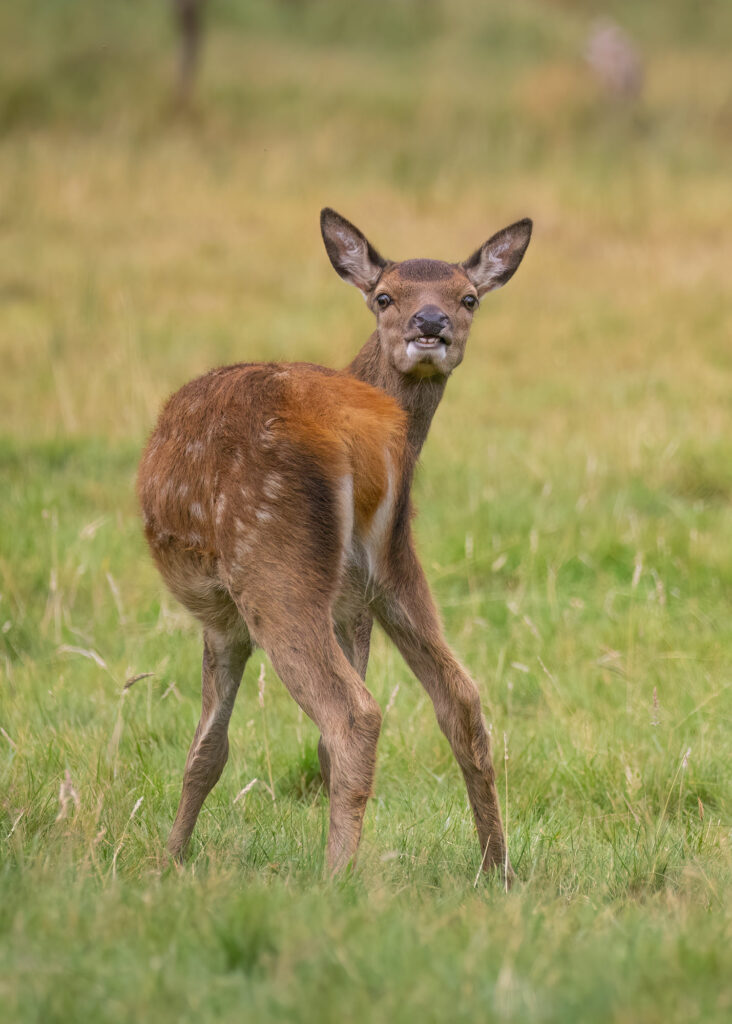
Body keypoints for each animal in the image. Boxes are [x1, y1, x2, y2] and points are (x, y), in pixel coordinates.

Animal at [137, 208, 532, 884]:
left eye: (468, 297)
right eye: (385, 296)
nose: (432, 324)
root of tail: (362, 437)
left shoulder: (224, 618)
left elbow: (207, 749)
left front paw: (170, 861)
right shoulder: (354, 603)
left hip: (272, 562)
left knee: (353, 713)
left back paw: (335, 879)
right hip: (397, 563)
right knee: (461, 699)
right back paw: (497, 869)